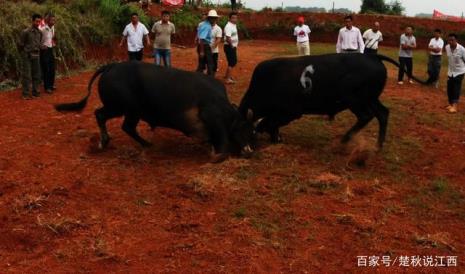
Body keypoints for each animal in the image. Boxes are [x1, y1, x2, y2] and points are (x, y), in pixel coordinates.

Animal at [57, 62, 258, 161]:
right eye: (245, 130)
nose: (250, 151)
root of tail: (111, 66)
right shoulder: (214, 119)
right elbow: (221, 145)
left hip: (131, 112)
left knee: (126, 127)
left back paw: (146, 144)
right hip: (120, 108)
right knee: (100, 115)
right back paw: (103, 142)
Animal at [237, 53, 426, 148]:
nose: (244, 149)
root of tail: (374, 57)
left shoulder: (290, 112)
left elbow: (269, 122)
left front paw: (274, 137)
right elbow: (271, 123)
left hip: (354, 99)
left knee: (366, 116)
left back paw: (345, 140)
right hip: (370, 99)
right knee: (382, 114)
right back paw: (378, 146)